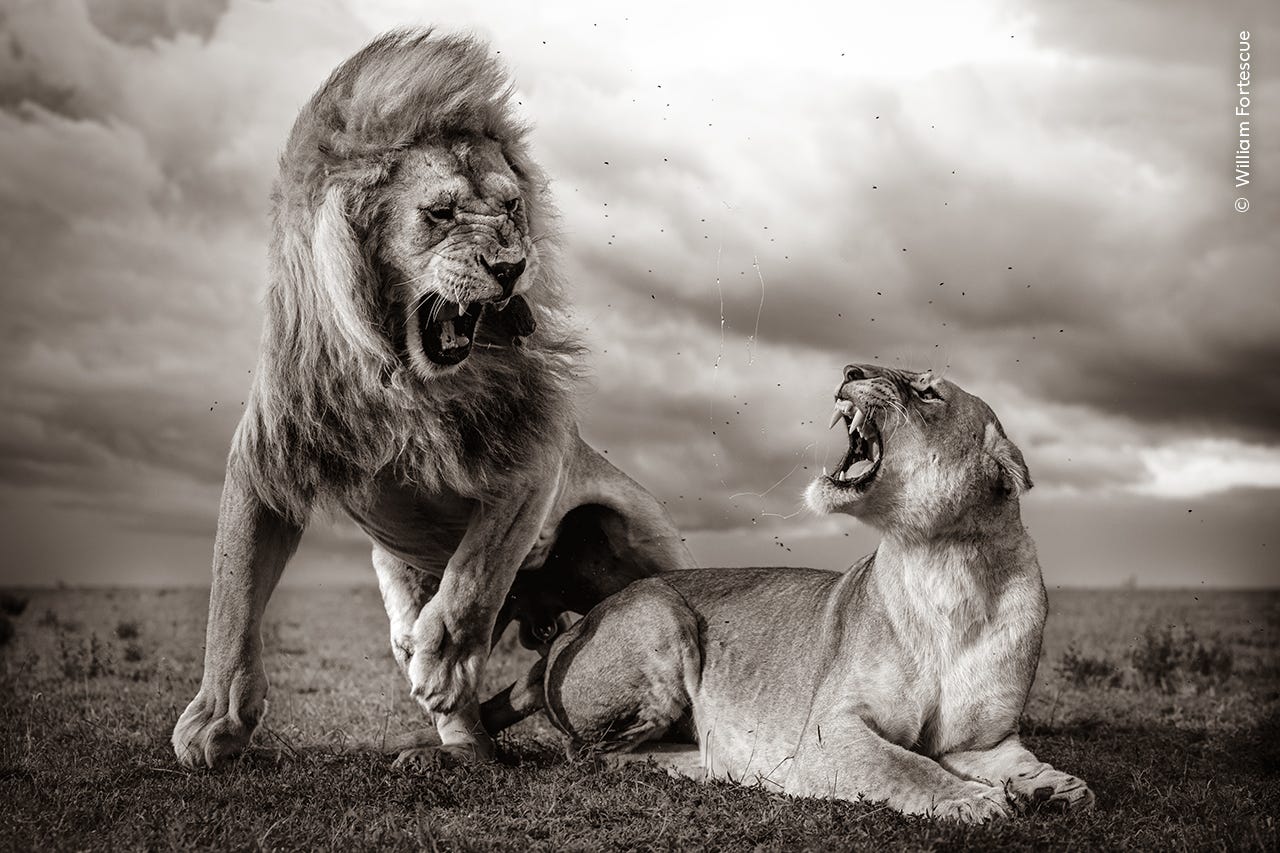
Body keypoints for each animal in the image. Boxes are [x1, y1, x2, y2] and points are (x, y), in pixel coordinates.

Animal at [171, 29, 694, 771]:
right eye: (440, 214)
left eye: (511, 208)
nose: (511, 267)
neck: (405, 376)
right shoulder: (266, 458)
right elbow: (232, 591)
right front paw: (215, 718)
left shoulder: (535, 454)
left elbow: (476, 572)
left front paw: (443, 660)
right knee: (467, 689)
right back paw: (450, 748)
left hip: (637, 540)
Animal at [487, 363, 1094, 822]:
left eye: (927, 392)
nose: (850, 371)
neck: (945, 567)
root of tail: (563, 641)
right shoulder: (830, 731)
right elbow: (908, 765)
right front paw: (972, 800)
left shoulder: (983, 743)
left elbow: (1016, 761)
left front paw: (1056, 787)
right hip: (661, 613)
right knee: (588, 752)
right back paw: (714, 764)